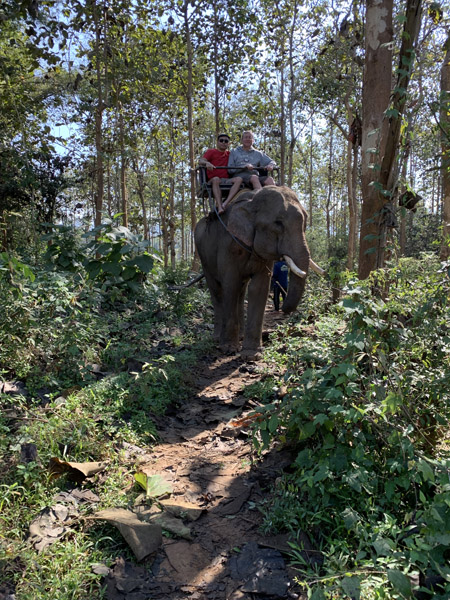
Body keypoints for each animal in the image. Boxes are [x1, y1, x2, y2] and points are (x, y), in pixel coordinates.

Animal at [194, 185, 324, 358]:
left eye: (304, 224)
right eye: (278, 223)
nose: (284, 310)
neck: (252, 201)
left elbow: (259, 288)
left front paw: (251, 355)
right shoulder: (228, 244)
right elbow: (230, 286)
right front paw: (229, 349)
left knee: (241, 292)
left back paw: (240, 336)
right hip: (203, 256)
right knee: (217, 291)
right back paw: (217, 338)